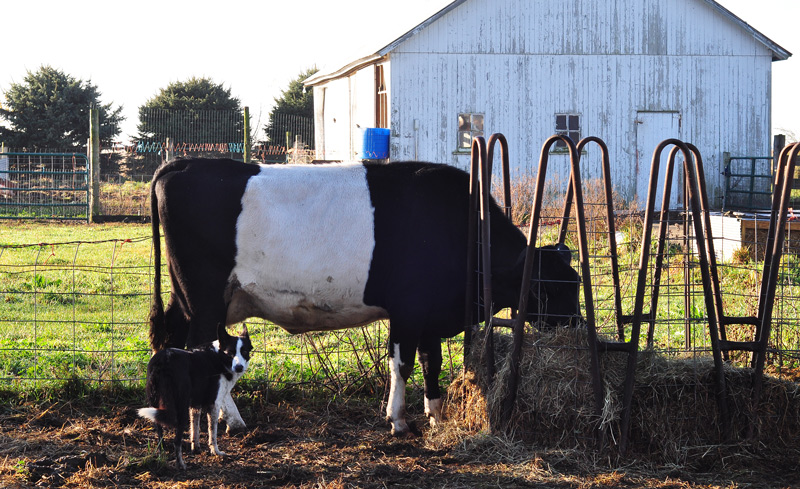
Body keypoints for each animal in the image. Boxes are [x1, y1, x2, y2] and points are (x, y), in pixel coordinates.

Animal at [148, 158, 580, 435]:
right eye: (549, 287)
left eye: (576, 283)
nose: (575, 325)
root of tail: (183, 163)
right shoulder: (408, 309)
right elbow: (403, 363)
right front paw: (398, 420)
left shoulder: (429, 314)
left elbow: (432, 362)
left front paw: (436, 414)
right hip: (205, 300)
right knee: (201, 349)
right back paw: (231, 420)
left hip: (188, 300)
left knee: (176, 343)